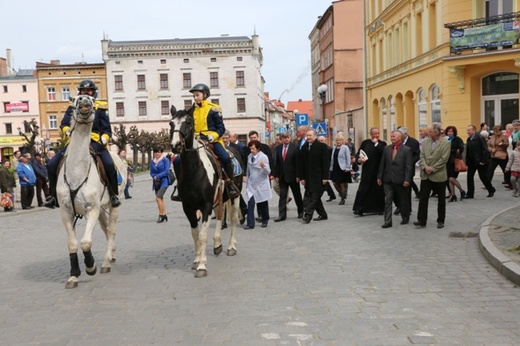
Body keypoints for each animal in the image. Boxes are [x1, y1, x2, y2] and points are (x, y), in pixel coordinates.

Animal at [56, 95, 127, 290]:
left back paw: (106, 262)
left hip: (113, 205)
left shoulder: (92, 209)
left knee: (111, 230)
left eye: (91, 100)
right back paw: (111, 254)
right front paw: (73, 275)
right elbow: (73, 244)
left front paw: (90, 266)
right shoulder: (66, 212)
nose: (85, 102)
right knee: (105, 228)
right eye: (76, 100)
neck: (76, 172)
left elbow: (86, 242)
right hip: (101, 209)